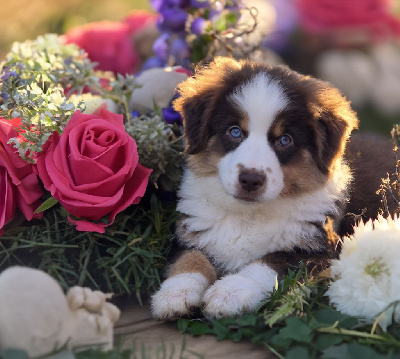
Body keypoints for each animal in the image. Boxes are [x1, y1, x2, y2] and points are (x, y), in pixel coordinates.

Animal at [151, 56, 396, 320]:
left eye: (285, 139)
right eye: (234, 131)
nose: (250, 179)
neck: (247, 216)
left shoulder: (318, 251)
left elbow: (269, 264)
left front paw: (230, 291)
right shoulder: (191, 231)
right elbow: (188, 258)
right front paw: (176, 293)